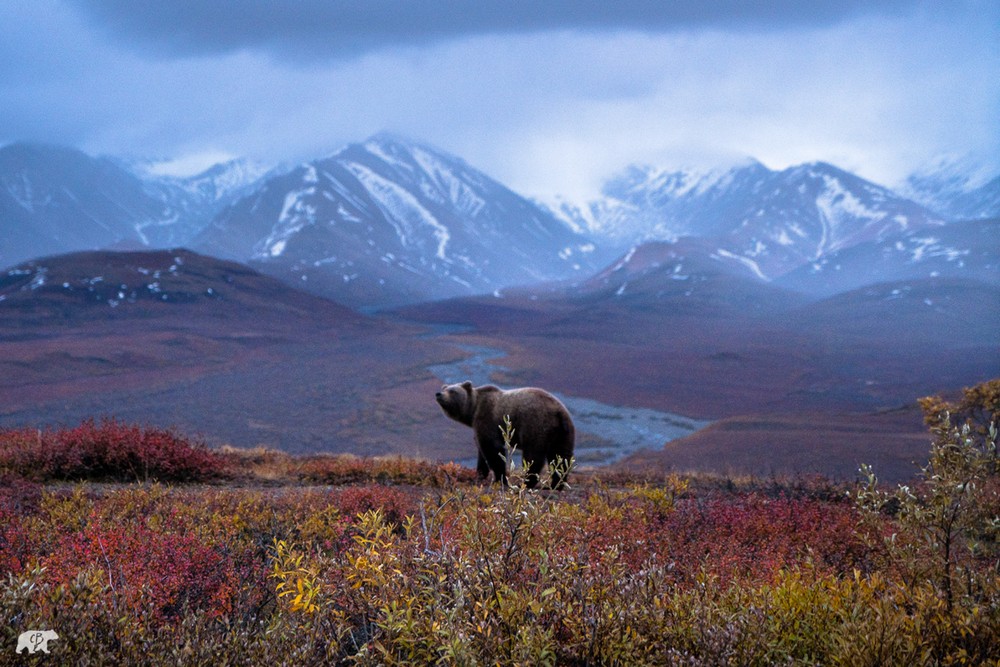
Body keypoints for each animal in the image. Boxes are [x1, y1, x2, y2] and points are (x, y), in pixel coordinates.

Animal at [434, 384, 576, 488]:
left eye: (452, 390)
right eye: (444, 388)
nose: (438, 394)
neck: (473, 410)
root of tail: (558, 411)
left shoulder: (488, 418)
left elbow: (492, 449)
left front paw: (499, 479)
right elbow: (481, 451)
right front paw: (479, 475)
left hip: (536, 424)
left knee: (533, 456)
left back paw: (527, 482)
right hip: (563, 432)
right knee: (561, 457)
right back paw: (556, 484)